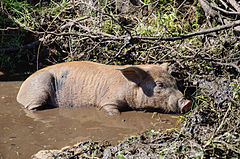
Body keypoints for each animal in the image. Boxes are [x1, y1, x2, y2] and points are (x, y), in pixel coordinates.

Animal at [16, 60, 191, 114]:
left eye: (174, 82)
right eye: (159, 84)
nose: (187, 102)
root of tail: (20, 91)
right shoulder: (107, 100)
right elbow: (112, 111)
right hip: (39, 88)